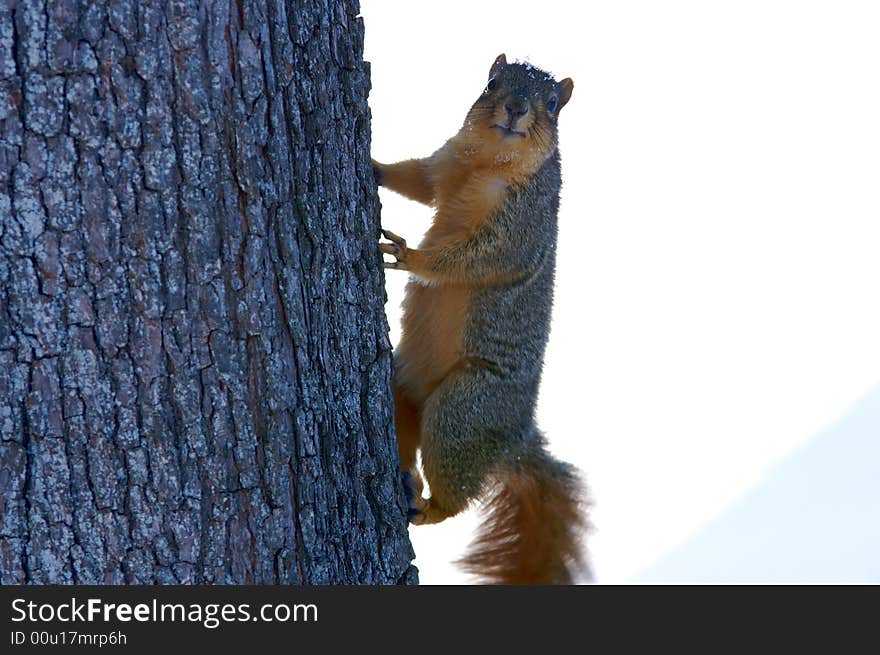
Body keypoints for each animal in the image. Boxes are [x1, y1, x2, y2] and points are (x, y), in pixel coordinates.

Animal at [374, 55, 588, 584]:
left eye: (552, 104)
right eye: (491, 84)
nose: (515, 107)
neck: (488, 162)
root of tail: (514, 440)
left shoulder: (522, 226)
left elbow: (473, 261)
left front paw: (412, 257)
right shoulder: (444, 165)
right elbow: (417, 179)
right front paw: (374, 167)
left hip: (464, 412)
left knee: (456, 496)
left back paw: (426, 507)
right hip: (403, 387)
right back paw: (407, 482)